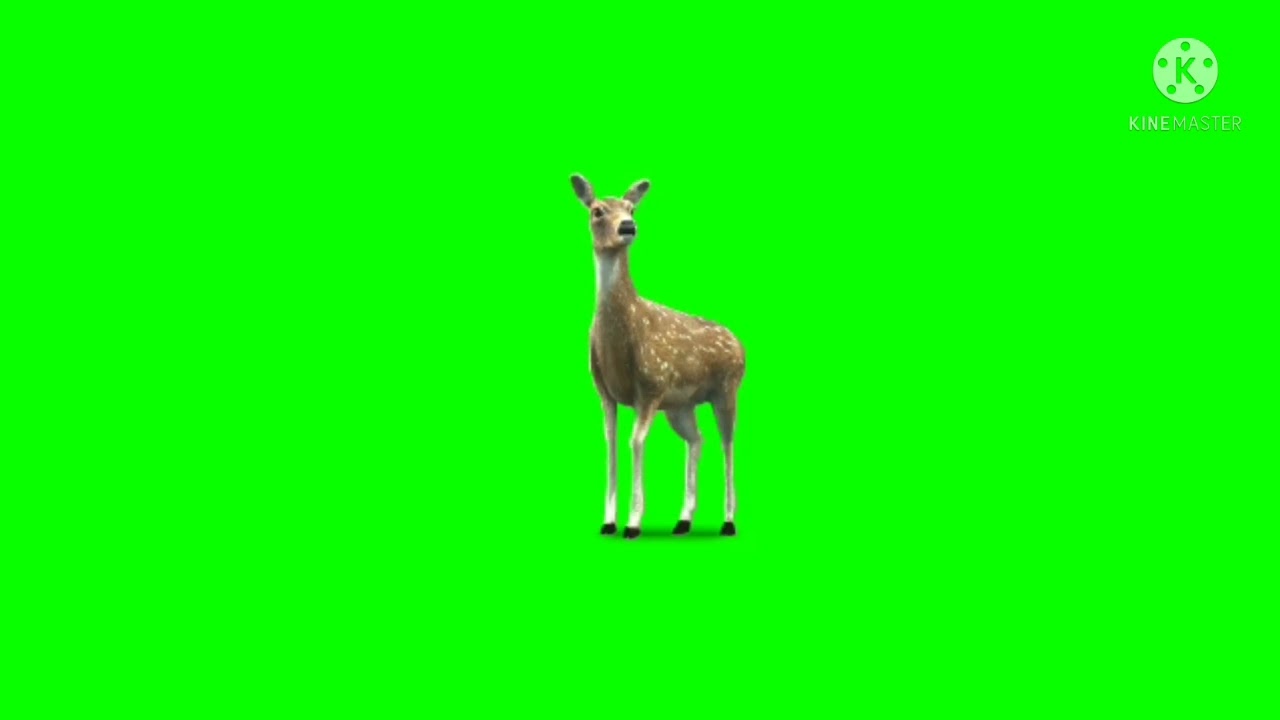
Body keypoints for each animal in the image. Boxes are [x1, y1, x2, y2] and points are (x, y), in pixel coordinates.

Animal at [572, 174, 746, 540]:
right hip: (681, 405)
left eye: (632, 208)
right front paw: (608, 522)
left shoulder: (651, 386)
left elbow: (636, 442)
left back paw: (728, 522)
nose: (627, 227)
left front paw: (633, 523)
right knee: (697, 439)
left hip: (727, 389)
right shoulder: (605, 392)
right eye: (597, 210)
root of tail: (741, 344)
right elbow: (611, 443)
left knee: (728, 443)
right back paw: (683, 520)